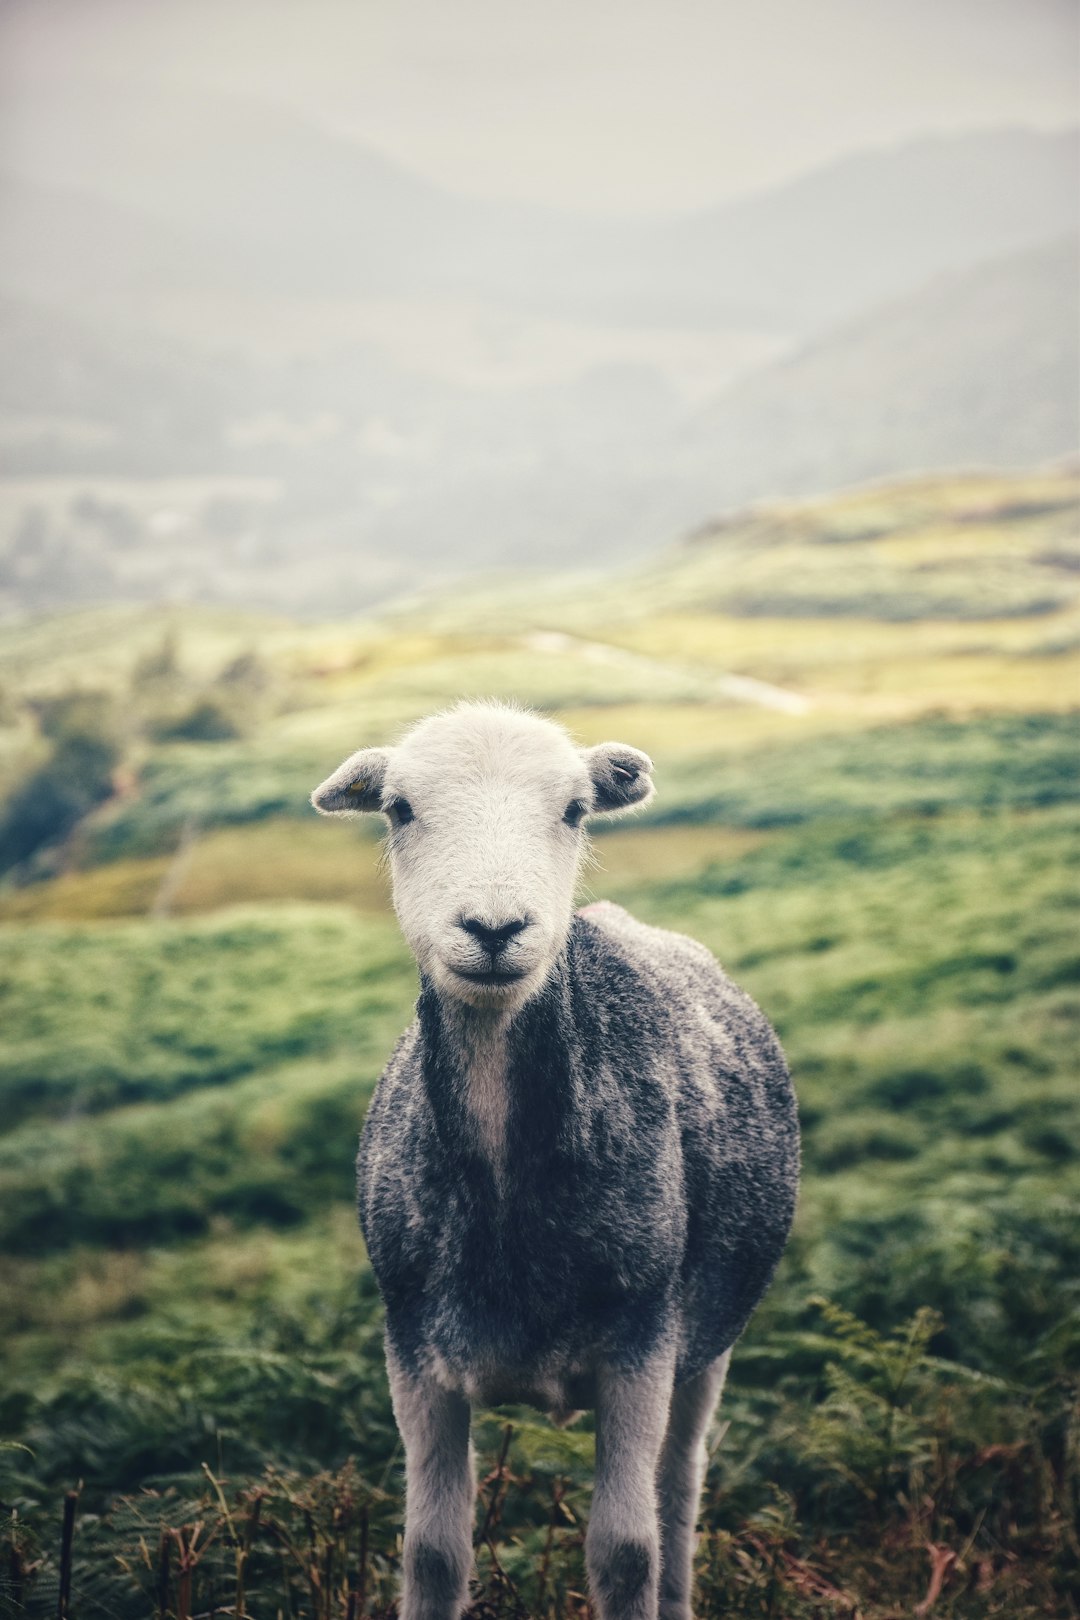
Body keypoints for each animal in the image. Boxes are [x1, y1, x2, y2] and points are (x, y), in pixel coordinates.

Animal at [307, 706, 799, 1620]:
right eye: (397, 809)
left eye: (575, 810)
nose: (495, 929)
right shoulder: (412, 1350)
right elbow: (431, 1554)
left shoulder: (643, 1342)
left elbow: (625, 1552)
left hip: (710, 1340)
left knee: (679, 1491)